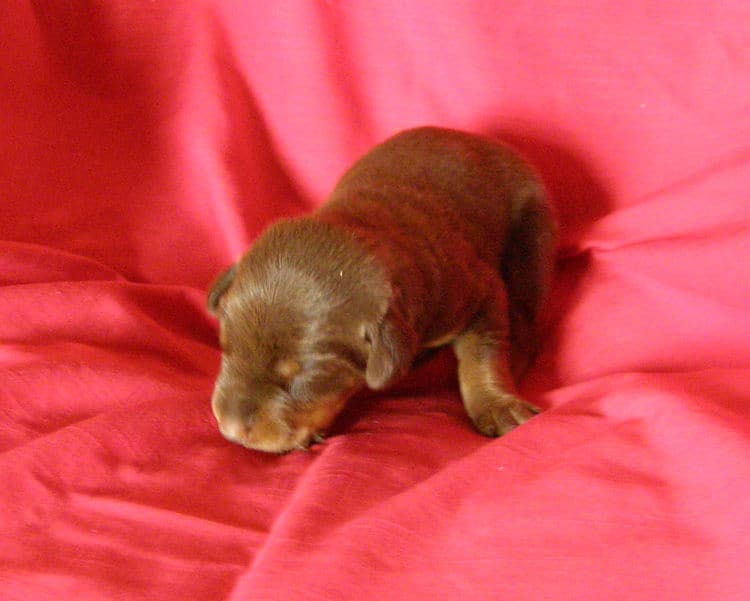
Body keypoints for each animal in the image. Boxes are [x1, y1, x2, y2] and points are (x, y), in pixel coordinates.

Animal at [209, 129, 556, 452]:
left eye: (304, 378)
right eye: (226, 347)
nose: (229, 428)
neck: (363, 223)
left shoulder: (478, 290)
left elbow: (482, 352)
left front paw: (497, 405)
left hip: (531, 239)